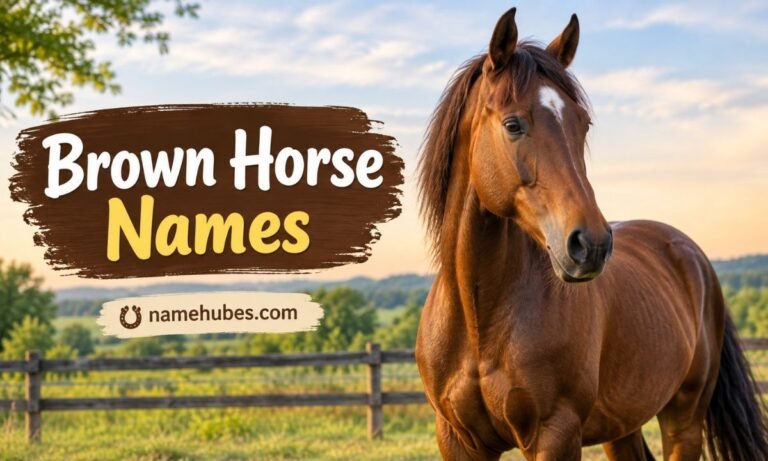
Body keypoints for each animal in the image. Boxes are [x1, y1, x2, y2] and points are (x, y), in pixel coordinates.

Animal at [415, 7, 768, 461]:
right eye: (513, 124)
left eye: (583, 124)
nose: (592, 244)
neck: (480, 323)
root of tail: (692, 256)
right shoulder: (457, 440)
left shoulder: (556, 435)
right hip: (622, 428)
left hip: (684, 420)